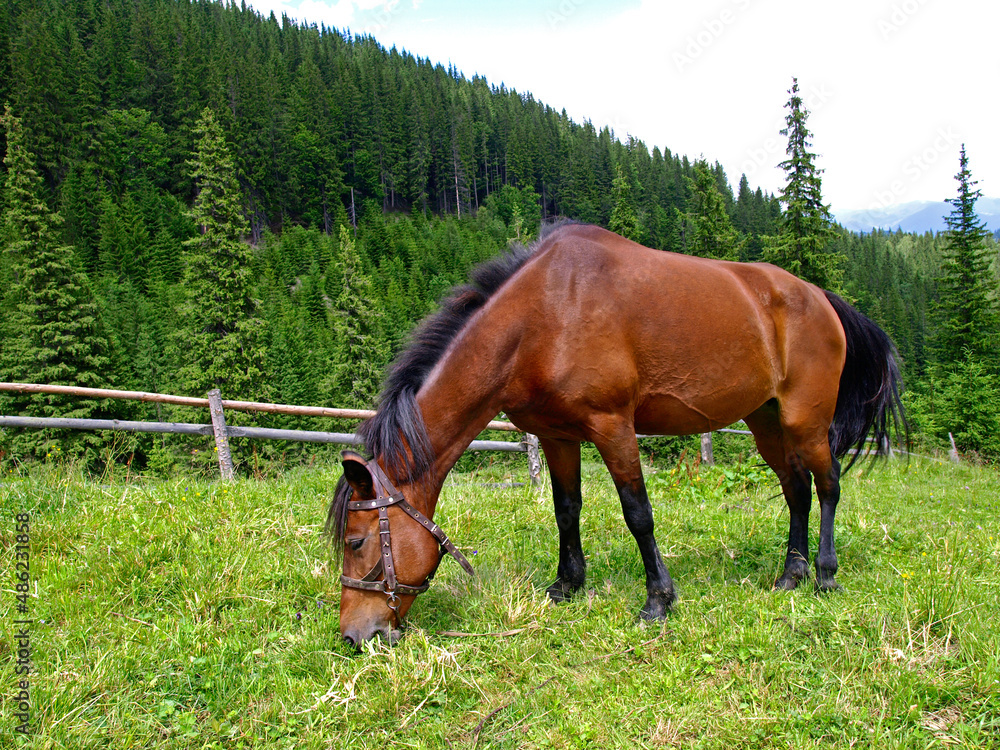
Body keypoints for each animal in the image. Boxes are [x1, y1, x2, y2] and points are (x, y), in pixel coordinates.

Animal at [328, 222, 906, 646]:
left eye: (356, 541)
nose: (354, 636)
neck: (544, 316)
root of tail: (820, 297)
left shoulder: (613, 427)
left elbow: (637, 513)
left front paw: (658, 600)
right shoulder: (558, 437)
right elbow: (566, 510)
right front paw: (567, 584)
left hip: (805, 421)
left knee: (827, 486)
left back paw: (824, 575)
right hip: (766, 422)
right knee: (797, 491)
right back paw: (790, 575)